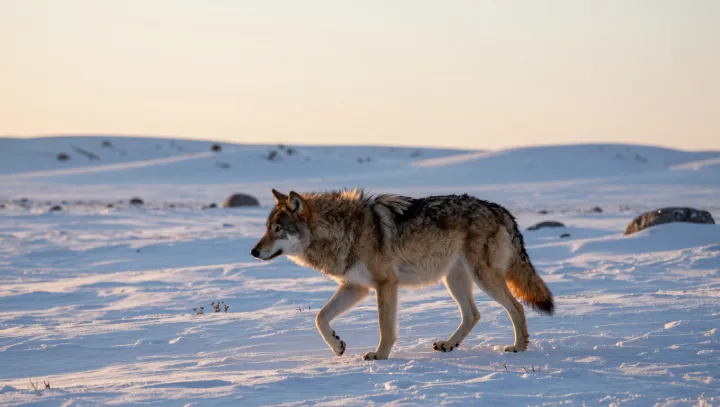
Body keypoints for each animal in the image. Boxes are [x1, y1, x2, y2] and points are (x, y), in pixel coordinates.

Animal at [251, 188, 554, 360]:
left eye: (277, 229)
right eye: (267, 228)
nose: (253, 251)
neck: (343, 230)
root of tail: (499, 209)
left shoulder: (386, 284)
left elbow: (385, 328)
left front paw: (381, 355)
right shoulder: (356, 287)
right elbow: (320, 318)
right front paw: (337, 345)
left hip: (483, 278)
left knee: (516, 307)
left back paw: (519, 347)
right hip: (454, 279)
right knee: (473, 314)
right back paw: (448, 345)